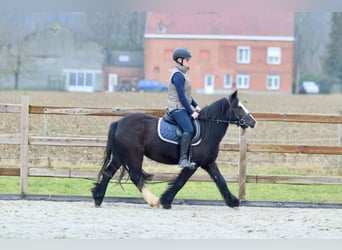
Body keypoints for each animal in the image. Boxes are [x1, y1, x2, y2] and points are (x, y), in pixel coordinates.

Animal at [92, 91, 255, 208]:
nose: (253, 122)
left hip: (121, 156)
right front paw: (166, 201)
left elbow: (220, 180)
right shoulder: (193, 164)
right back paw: (153, 201)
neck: (207, 130)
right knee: (135, 176)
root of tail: (119, 122)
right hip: (134, 155)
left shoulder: (208, 162)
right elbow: (180, 182)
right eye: (239, 107)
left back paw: (98, 198)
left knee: (108, 173)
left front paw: (233, 201)